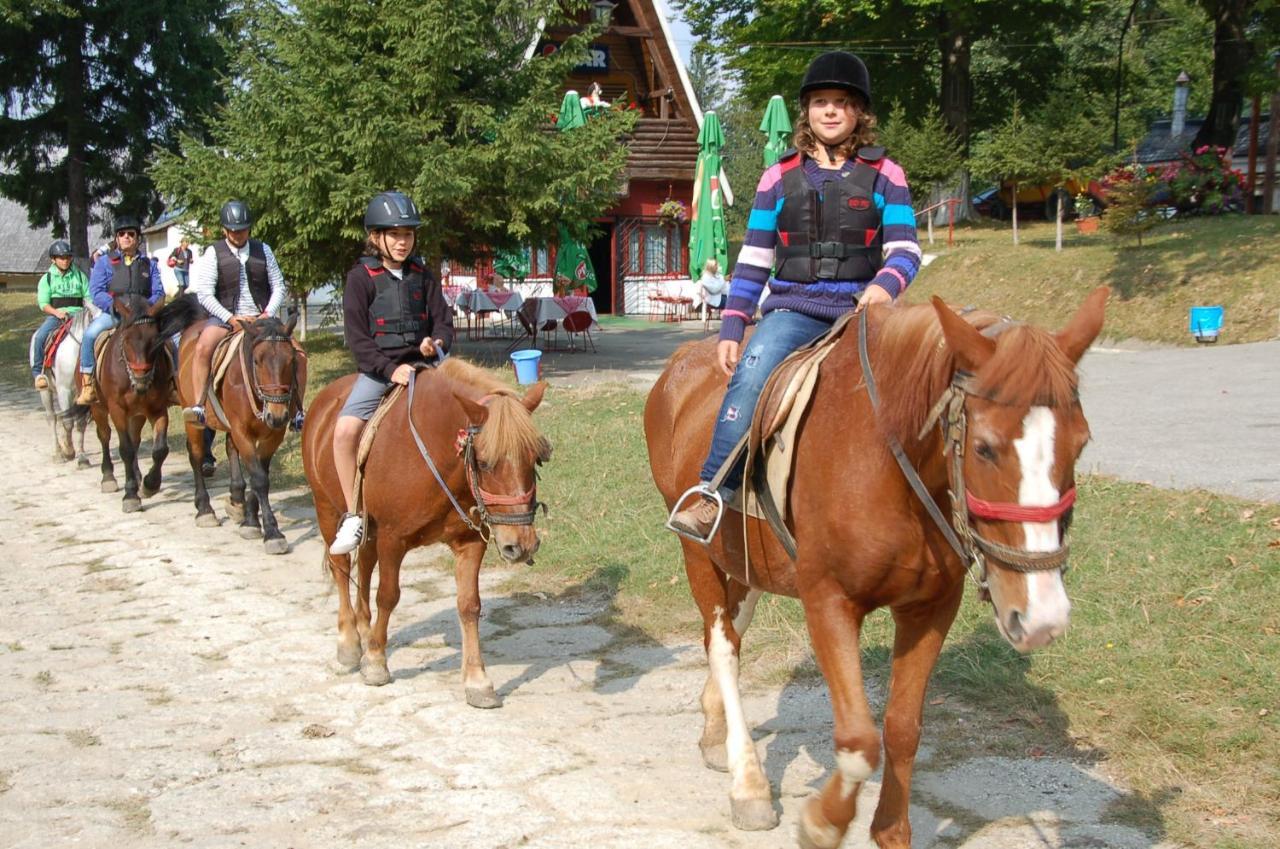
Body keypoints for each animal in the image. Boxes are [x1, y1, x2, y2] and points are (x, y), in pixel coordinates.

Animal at [87, 295, 177, 512]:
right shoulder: (117, 410)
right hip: (99, 408)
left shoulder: (157, 409)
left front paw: (150, 485)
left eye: (156, 339)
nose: (141, 374)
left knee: (135, 439)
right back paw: (108, 477)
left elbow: (160, 449)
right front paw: (130, 495)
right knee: (105, 436)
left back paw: (136, 476)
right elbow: (126, 450)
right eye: (127, 340)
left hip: (137, 414)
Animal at [175, 308, 307, 555]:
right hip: (193, 418)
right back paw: (205, 509)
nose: (277, 415)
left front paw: (251, 521)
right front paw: (272, 532)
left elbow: (260, 474)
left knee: (230, 448)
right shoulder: (242, 431)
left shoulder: (273, 435)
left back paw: (236, 499)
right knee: (196, 455)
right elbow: (259, 478)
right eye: (256, 360)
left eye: (292, 360)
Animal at [308, 358, 555, 701]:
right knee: (342, 569)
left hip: (369, 528)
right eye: (484, 462)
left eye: (536, 459)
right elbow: (388, 596)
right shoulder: (392, 539)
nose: (520, 545)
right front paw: (376, 662)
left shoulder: (469, 542)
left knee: (365, 567)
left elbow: (469, 605)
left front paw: (477, 679)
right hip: (327, 510)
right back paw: (349, 644)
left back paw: (365, 631)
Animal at [645, 289, 1105, 845]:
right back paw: (749, 784)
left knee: (735, 624)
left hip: (745, 561)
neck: (888, 459)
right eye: (984, 448)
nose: (1042, 618)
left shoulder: (931, 609)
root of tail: (679, 363)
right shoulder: (829, 602)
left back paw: (716, 734)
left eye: (1081, 443)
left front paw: (890, 831)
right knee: (723, 647)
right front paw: (824, 822)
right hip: (697, 551)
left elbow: (902, 729)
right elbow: (860, 741)